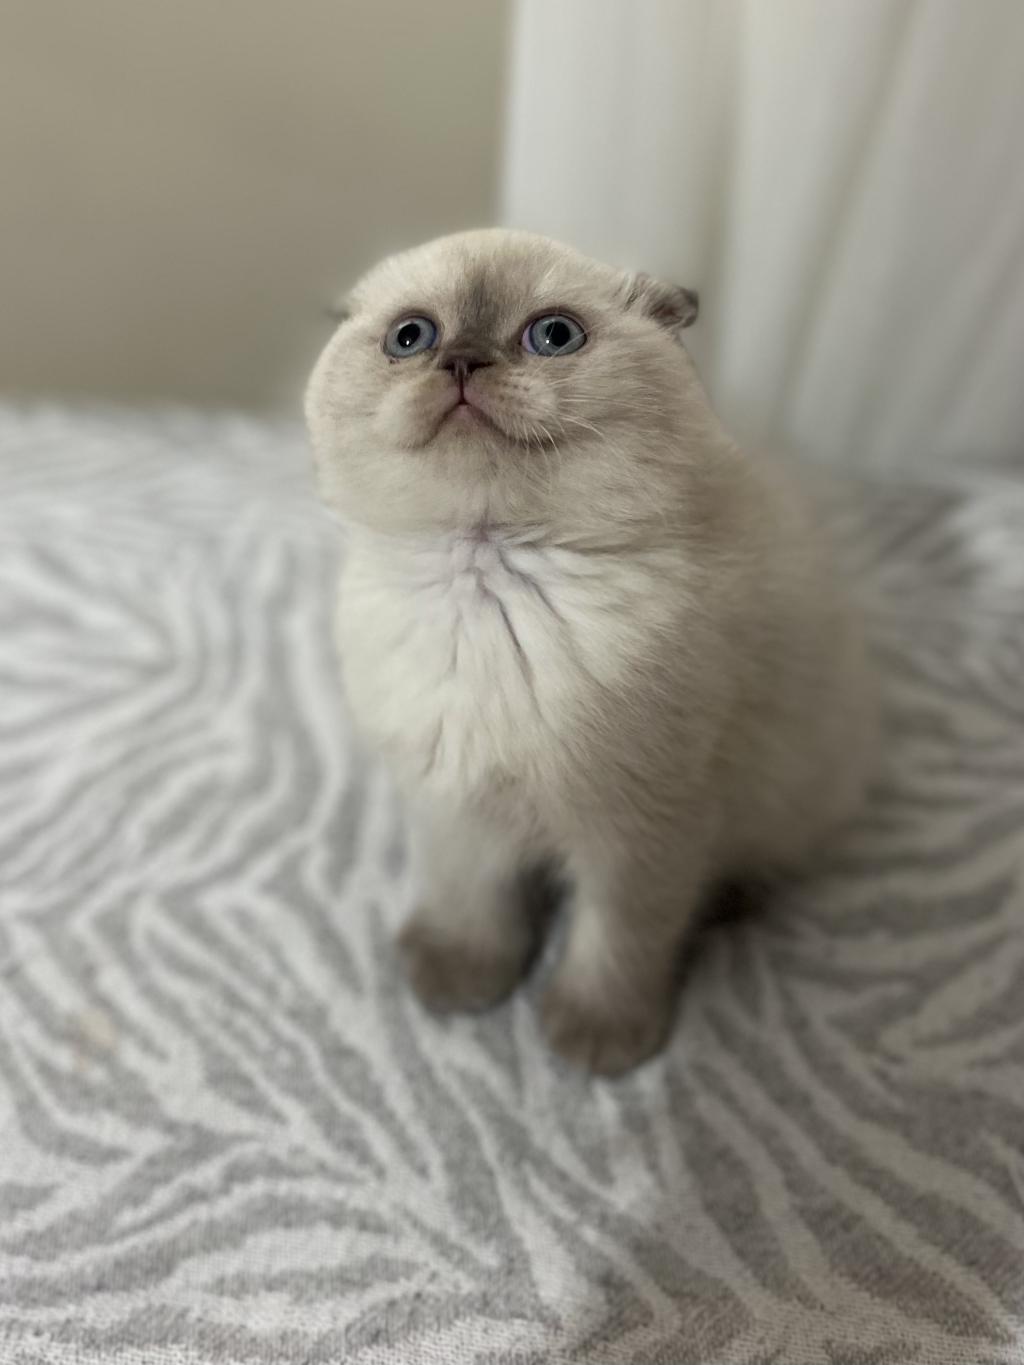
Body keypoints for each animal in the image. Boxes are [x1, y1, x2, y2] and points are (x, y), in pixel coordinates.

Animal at [305, 229, 874, 1075]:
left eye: (553, 336)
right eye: (411, 338)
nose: (463, 362)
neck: (489, 588)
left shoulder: (640, 834)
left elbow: (616, 941)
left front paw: (596, 1041)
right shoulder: (457, 805)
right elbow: (472, 904)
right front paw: (460, 983)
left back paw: (730, 904)